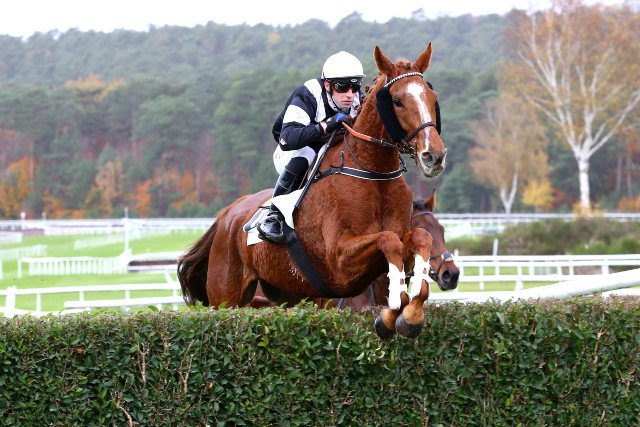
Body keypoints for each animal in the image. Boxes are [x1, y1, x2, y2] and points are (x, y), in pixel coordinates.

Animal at [178, 43, 447, 339]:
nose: (433, 156)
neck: (372, 173)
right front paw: (392, 314)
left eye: (432, 96)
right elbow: (388, 240)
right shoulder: (340, 263)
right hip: (225, 297)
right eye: (397, 101)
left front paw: (408, 316)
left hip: (285, 292)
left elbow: (419, 239)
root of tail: (229, 215)